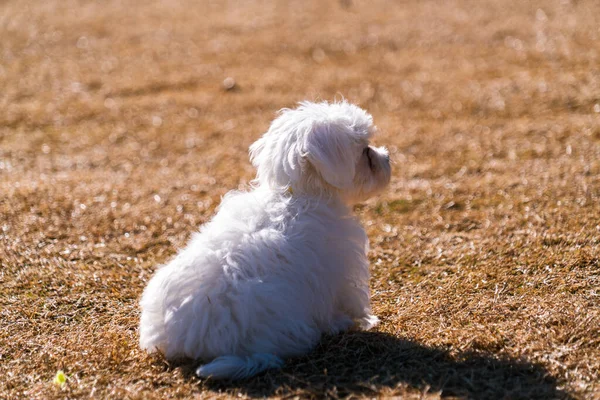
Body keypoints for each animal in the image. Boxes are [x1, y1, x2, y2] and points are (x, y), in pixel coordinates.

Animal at [138, 101, 392, 380]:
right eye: (366, 152)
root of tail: (188, 343)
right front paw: (356, 321)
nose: (387, 157)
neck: (297, 195)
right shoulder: (339, 267)